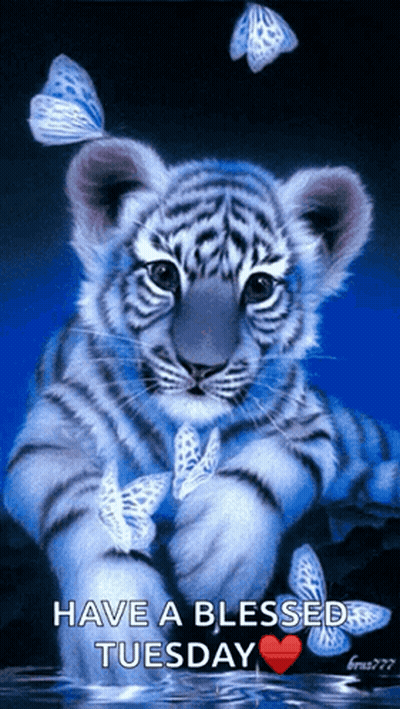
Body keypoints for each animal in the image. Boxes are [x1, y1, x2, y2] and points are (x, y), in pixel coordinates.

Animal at [4, 136, 400, 685]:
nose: (201, 365)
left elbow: (269, 470)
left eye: (259, 287)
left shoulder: (309, 424)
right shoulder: (49, 436)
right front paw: (118, 634)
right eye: (164, 274)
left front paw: (219, 558)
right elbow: (90, 507)